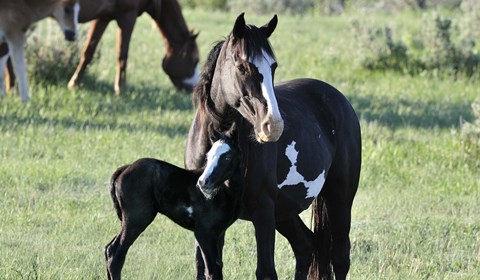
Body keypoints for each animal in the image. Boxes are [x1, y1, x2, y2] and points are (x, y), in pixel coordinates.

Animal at [67, 0, 199, 94]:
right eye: (195, 60)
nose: (193, 88)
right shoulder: (128, 16)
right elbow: (122, 55)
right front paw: (121, 88)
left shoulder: (103, 18)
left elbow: (88, 51)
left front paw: (74, 84)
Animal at [108, 125, 244, 280]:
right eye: (208, 156)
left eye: (227, 156)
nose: (203, 182)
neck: (225, 193)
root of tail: (125, 168)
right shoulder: (203, 233)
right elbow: (212, 272)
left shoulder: (219, 233)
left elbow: (218, 267)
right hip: (136, 220)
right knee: (115, 254)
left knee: (109, 249)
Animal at [186, 13, 362, 280]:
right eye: (241, 67)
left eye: (273, 66)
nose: (273, 125)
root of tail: (340, 101)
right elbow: (206, 269)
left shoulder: (264, 212)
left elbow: (266, 271)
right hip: (286, 212)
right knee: (305, 245)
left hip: (339, 198)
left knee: (340, 257)